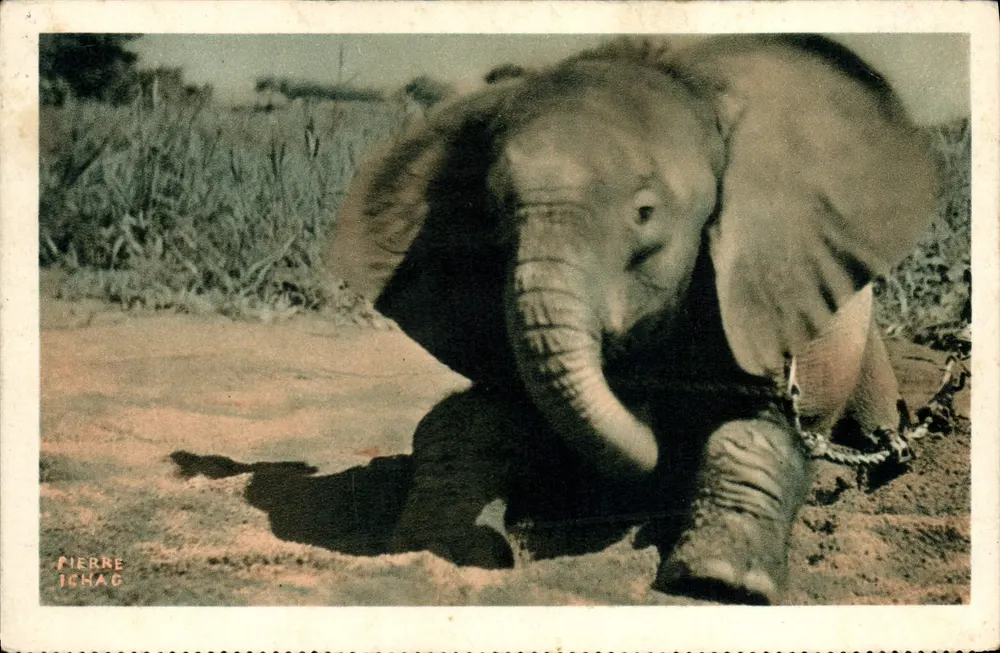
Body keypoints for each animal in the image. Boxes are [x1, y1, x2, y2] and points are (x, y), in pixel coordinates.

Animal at [326, 35, 939, 603]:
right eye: (493, 217)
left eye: (645, 214)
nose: (645, 407)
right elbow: (469, 421)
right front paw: (440, 547)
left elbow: (761, 427)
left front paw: (719, 582)